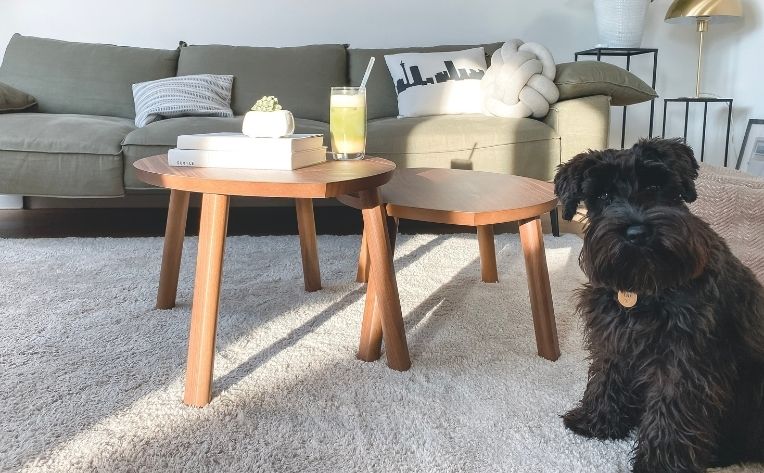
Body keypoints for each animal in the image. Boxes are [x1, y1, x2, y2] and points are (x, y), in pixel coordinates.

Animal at [556, 137, 764, 472]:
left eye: (655, 186)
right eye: (603, 195)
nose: (636, 233)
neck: (644, 287)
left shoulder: (683, 359)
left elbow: (672, 410)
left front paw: (660, 463)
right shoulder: (613, 338)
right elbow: (606, 376)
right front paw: (597, 420)